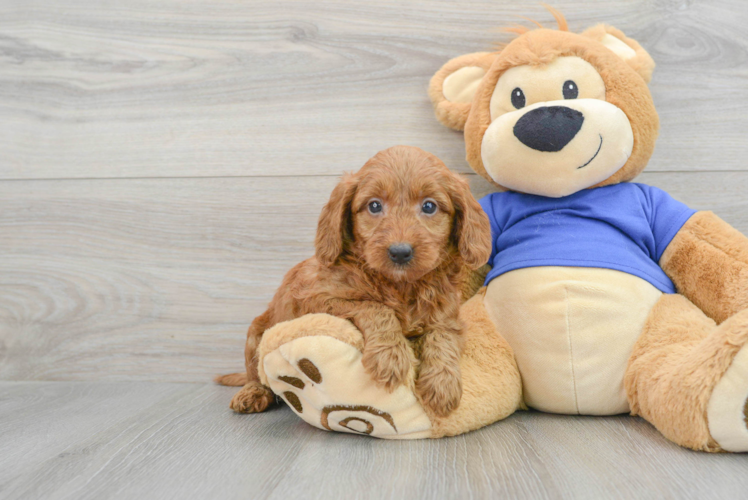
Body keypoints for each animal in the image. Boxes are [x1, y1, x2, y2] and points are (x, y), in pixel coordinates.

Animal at [218, 146, 490, 418]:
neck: (401, 286)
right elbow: (374, 306)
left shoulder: (448, 315)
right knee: (257, 373)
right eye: (374, 205)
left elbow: (443, 337)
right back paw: (252, 393)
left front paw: (442, 385)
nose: (400, 252)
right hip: (256, 333)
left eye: (429, 206)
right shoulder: (314, 299)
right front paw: (390, 356)